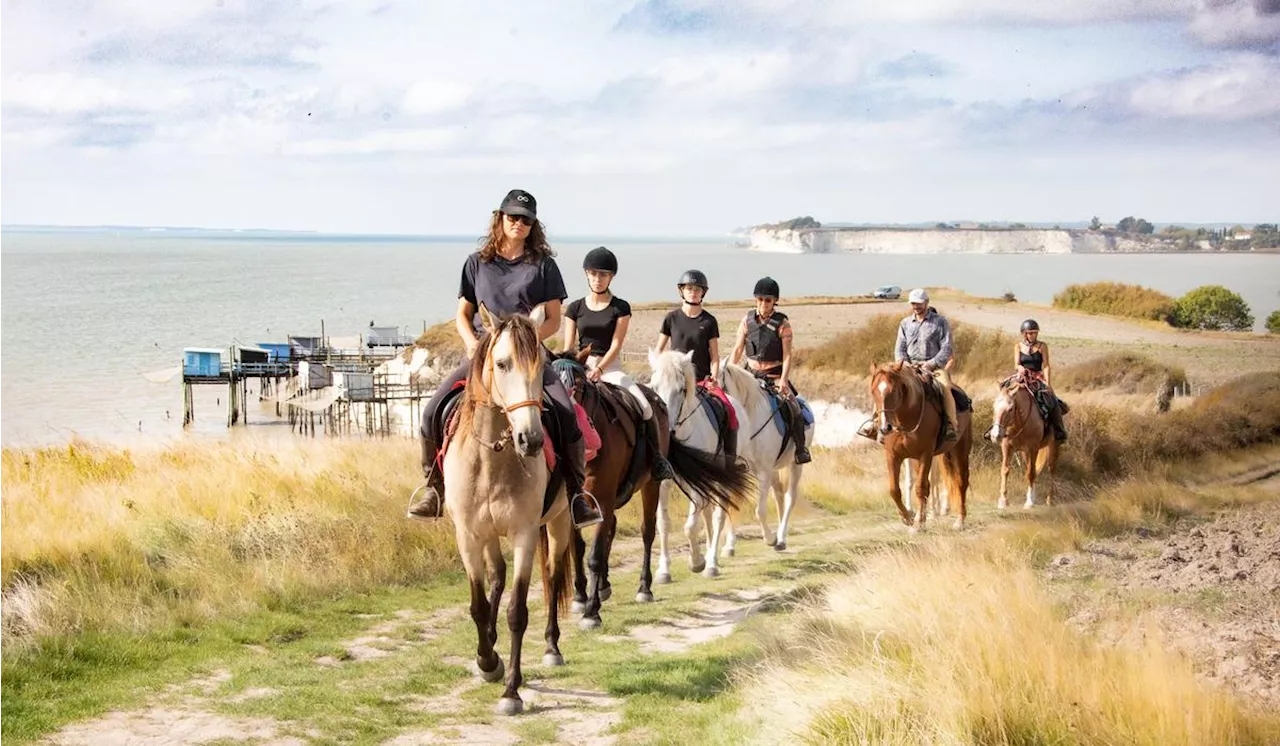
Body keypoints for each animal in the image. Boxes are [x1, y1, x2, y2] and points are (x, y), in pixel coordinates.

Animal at [442, 304, 578, 716]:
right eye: (502, 364)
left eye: (541, 365)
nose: (530, 440)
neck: (492, 458)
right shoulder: (468, 535)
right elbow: (478, 603)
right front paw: (488, 661)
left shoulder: (524, 535)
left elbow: (518, 611)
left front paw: (511, 691)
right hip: (488, 534)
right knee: (497, 577)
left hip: (559, 522)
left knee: (552, 576)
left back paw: (551, 647)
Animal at [645, 350, 752, 583]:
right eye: (654, 387)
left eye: (681, 389)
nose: (667, 431)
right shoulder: (664, 483)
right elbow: (664, 524)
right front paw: (663, 571)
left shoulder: (697, 487)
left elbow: (690, 526)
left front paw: (696, 561)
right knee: (709, 513)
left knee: (718, 515)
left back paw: (711, 563)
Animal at [870, 360, 967, 532]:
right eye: (874, 391)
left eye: (893, 392)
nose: (885, 428)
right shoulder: (893, 455)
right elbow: (895, 489)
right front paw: (908, 517)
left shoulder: (926, 454)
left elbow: (922, 487)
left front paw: (919, 524)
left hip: (960, 448)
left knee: (961, 481)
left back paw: (960, 521)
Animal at [988, 376, 1059, 511]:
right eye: (994, 406)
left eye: (1010, 409)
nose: (995, 435)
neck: (1019, 422)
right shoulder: (1007, 447)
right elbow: (1005, 470)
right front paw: (1003, 500)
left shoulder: (1033, 448)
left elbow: (1030, 473)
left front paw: (1029, 502)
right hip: (1025, 453)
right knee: (1033, 469)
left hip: (1052, 446)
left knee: (1051, 469)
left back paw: (1050, 499)